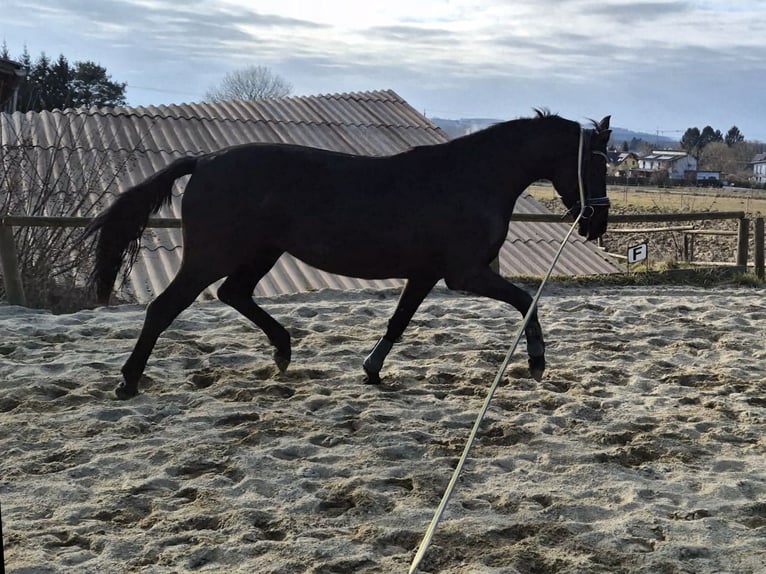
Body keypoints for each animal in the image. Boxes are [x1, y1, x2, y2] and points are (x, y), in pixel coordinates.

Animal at [85, 109, 612, 400]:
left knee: (235, 294)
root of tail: (205, 161)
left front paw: (371, 369)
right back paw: (128, 381)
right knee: (165, 308)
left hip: (260, 252)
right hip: (211, 256)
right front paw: (537, 362)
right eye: (594, 163)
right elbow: (526, 302)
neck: (471, 177)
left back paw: (283, 350)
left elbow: (398, 321)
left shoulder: (427, 273)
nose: (597, 223)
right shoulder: (465, 274)